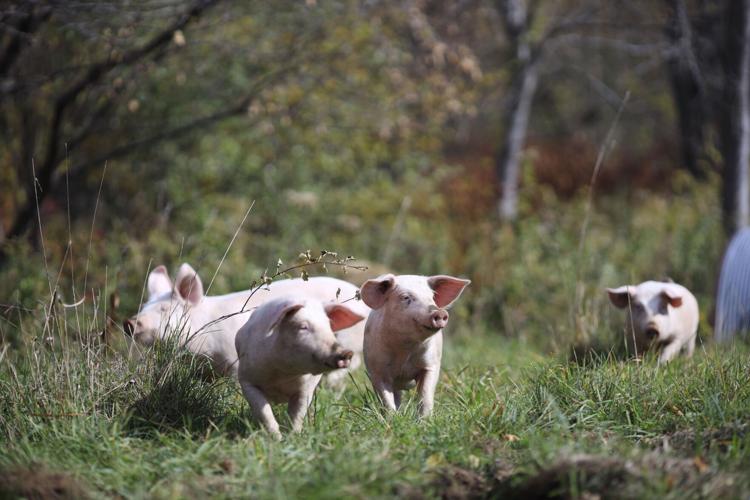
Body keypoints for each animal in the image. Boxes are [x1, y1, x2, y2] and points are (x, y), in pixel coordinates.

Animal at [235, 295, 364, 437]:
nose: (347, 352)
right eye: (303, 327)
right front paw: (276, 438)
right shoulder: (247, 380)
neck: (282, 374)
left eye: (329, 327)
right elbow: (264, 412)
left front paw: (293, 436)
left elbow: (297, 415)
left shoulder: (305, 389)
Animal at [360, 274, 470, 417]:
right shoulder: (377, 370)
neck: (405, 350)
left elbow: (425, 395)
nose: (439, 312)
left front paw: (424, 420)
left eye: (432, 296)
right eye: (406, 297)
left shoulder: (431, 364)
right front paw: (393, 419)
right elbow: (386, 399)